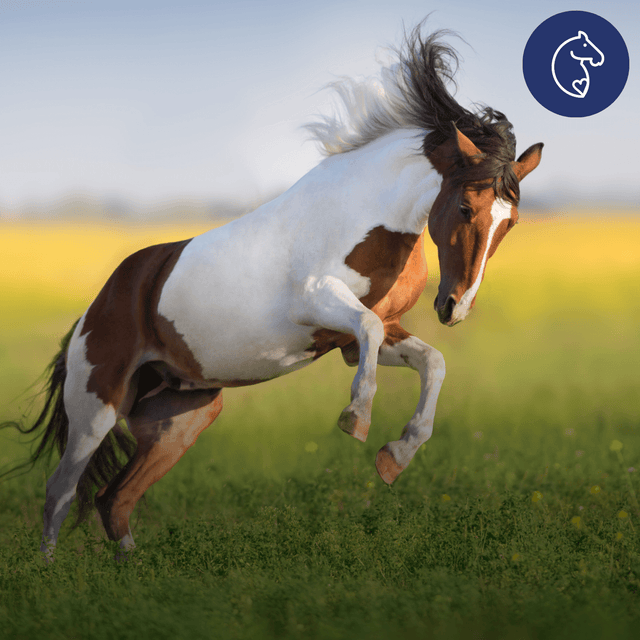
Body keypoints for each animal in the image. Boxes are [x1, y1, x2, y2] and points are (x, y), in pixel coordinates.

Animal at [2, 24, 542, 559]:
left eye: (510, 222)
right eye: (466, 208)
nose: (454, 308)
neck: (365, 212)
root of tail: (96, 308)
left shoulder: (358, 340)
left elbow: (433, 362)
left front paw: (395, 456)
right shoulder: (320, 302)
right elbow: (370, 331)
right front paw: (356, 420)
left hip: (181, 418)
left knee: (114, 499)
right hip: (97, 406)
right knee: (60, 492)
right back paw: (51, 572)